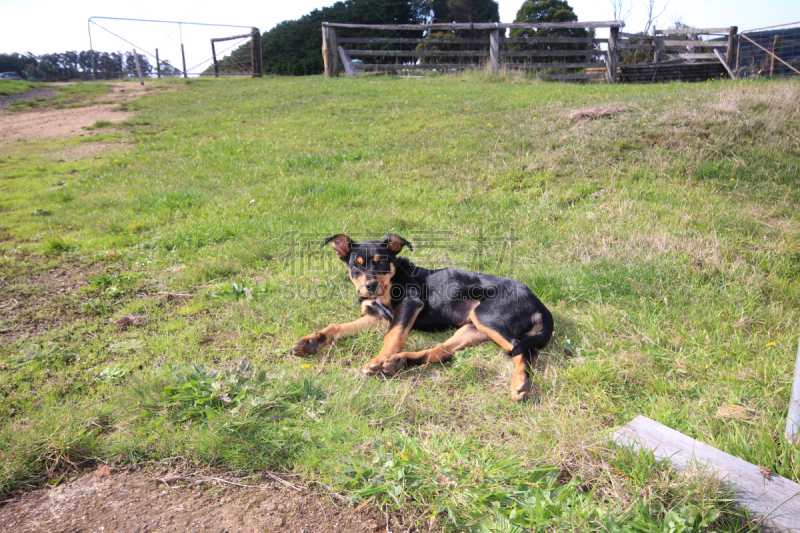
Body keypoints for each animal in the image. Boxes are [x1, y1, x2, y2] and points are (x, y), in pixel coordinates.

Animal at [290, 233, 552, 400]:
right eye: (356, 265)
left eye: (382, 262)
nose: (370, 286)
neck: (389, 285)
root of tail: (538, 301)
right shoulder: (376, 317)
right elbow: (337, 327)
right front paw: (311, 341)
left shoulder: (409, 304)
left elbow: (393, 336)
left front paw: (377, 361)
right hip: (472, 327)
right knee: (442, 352)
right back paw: (399, 363)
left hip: (486, 316)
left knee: (526, 350)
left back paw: (519, 384)